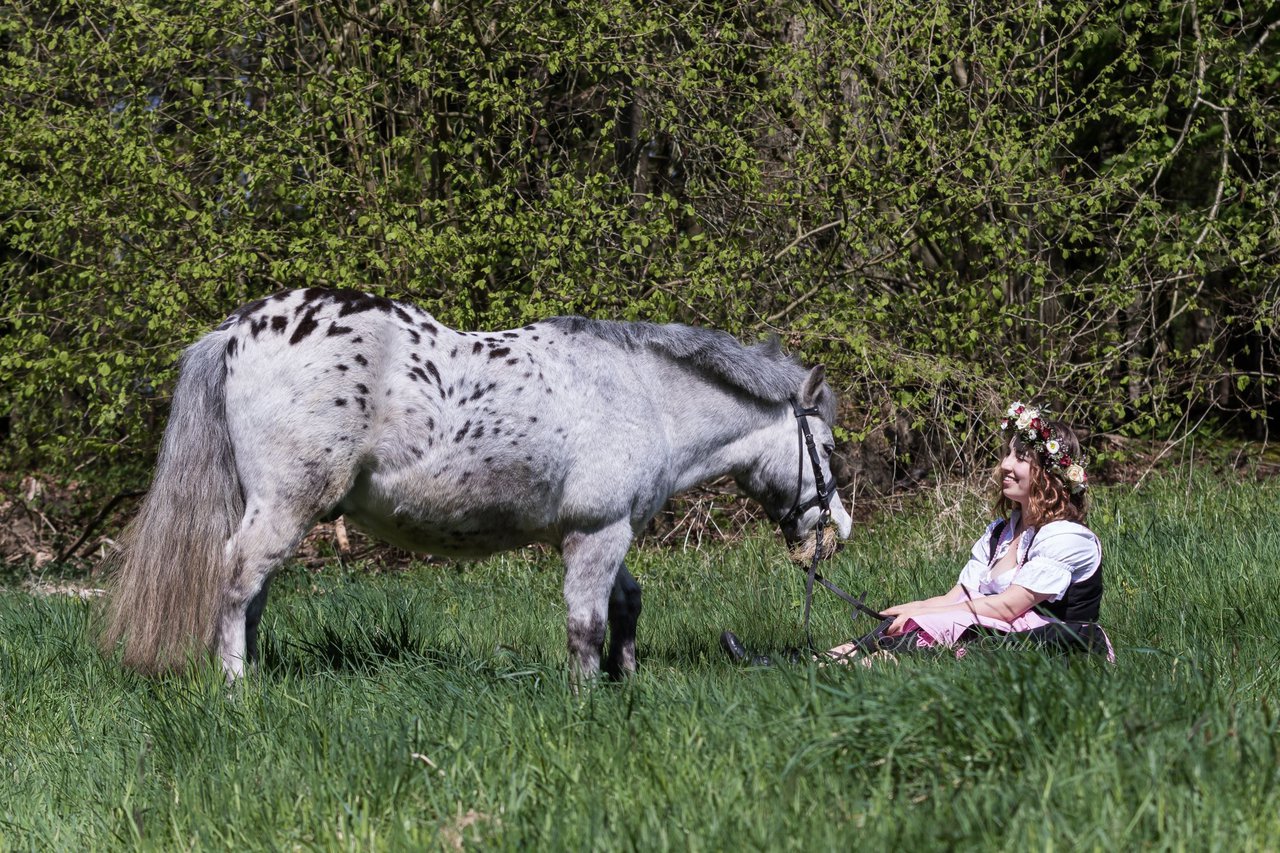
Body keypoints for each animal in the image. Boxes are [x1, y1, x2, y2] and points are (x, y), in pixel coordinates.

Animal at [104, 289, 855, 681]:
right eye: (825, 447)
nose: (838, 531)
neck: (641, 394)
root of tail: (237, 331)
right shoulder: (596, 532)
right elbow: (586, 624)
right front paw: (588, 699)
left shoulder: (603, 531)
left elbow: (627, 605)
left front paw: (627, 679)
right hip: (286, 505)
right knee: (236, 582)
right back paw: (238, 689)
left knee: (254, 593)